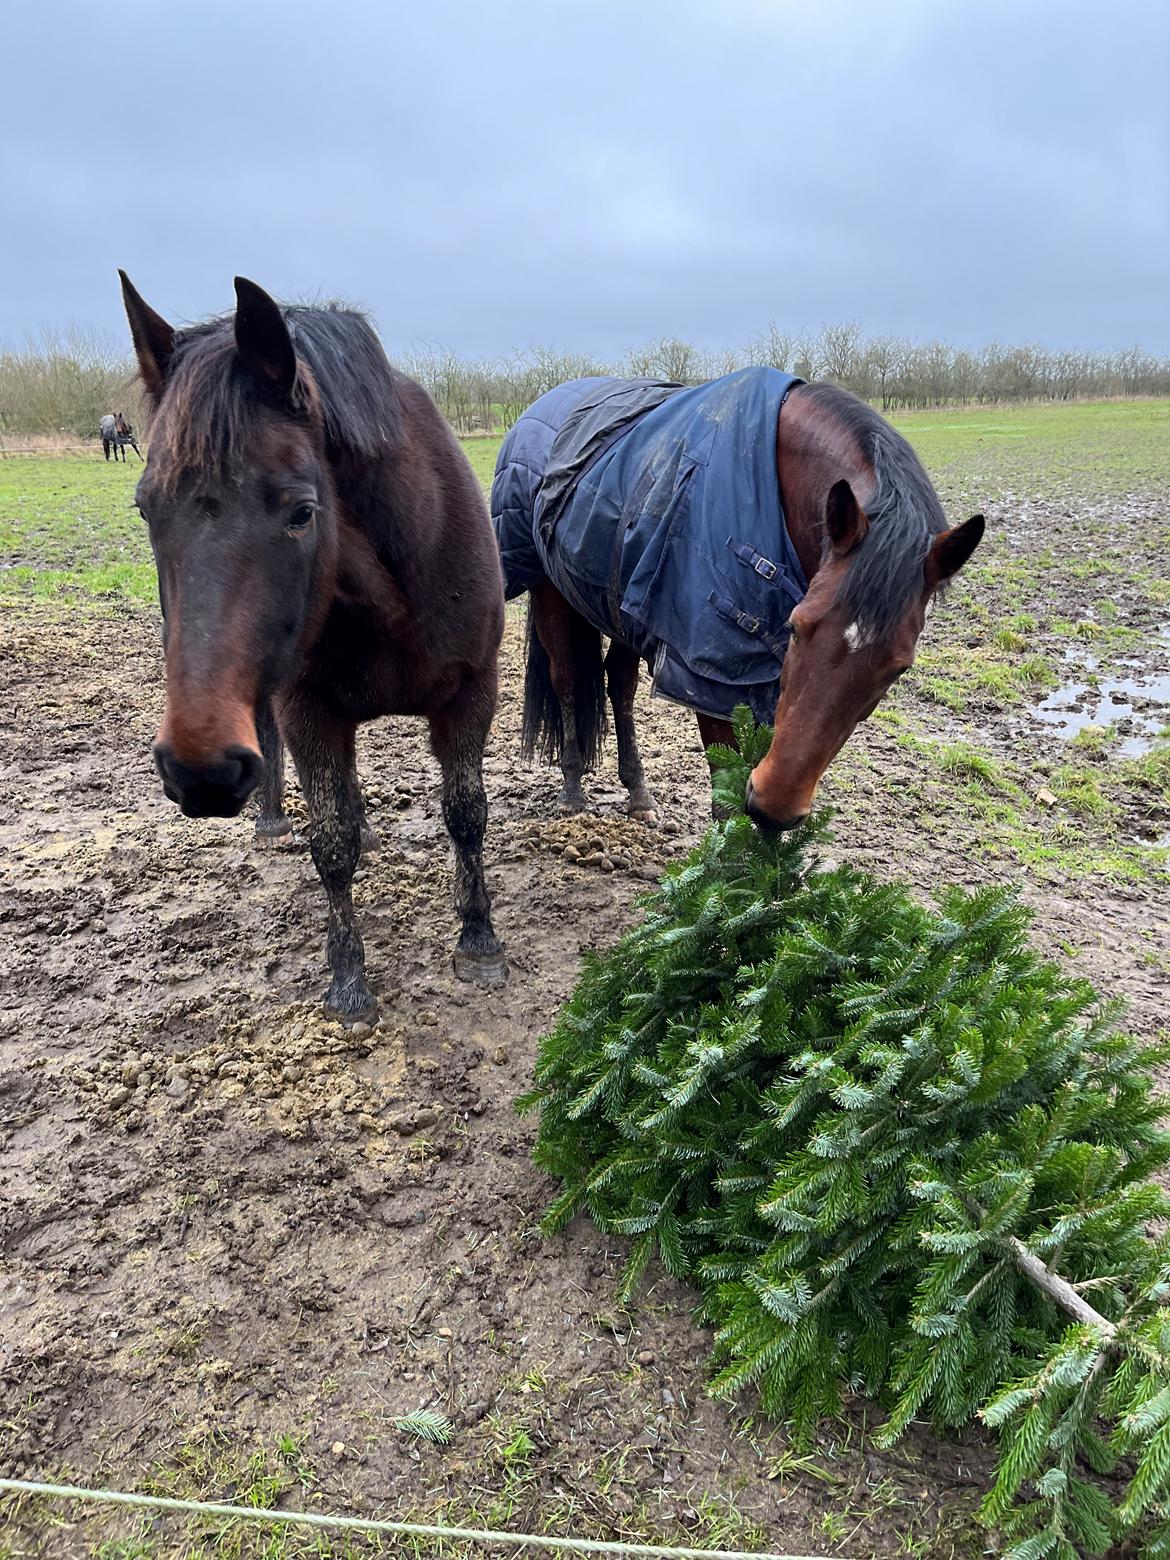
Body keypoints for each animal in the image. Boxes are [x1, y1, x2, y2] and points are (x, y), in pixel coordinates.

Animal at [119, 273, 508, 1017]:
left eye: (303, 511)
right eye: (146, 508)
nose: (199, 773)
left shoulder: (471, 695)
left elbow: (466, 815)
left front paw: (478, 939)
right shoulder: (309, 713)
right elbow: (330, 844)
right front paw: (349, 983)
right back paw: (272, 818)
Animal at [489, 366, 985, 829]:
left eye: (899, 668)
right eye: (797, 629)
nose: (775, 807)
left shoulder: (766, 680)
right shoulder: (708, 673)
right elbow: (725, 801)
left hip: (617, 604)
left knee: (620, 685)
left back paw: (638, 793)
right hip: (551, 591)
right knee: (567, 679)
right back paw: (573, 790)